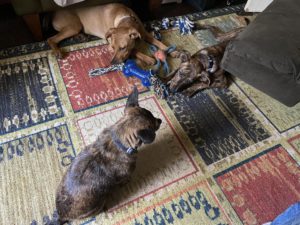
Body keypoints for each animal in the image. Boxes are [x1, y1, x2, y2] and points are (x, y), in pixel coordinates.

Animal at [47, 3, 176, 65]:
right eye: (113, 48)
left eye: (123, 48)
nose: (112, 63)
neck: (124, 18)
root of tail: (53, 12)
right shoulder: (109, 44)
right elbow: (134, 49)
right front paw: (148, 59)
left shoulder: (144, 34)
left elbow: (158, 42)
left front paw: (172, 51)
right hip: (74, 26)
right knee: (51, 39)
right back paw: (57, 51)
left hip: (74, 27)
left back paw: (81, 36)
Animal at [54, 86, 162, 225]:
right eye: (154, 125)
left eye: (152, 114)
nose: (160, 120)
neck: (118, 140)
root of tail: (62, 215)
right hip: (98, 204)